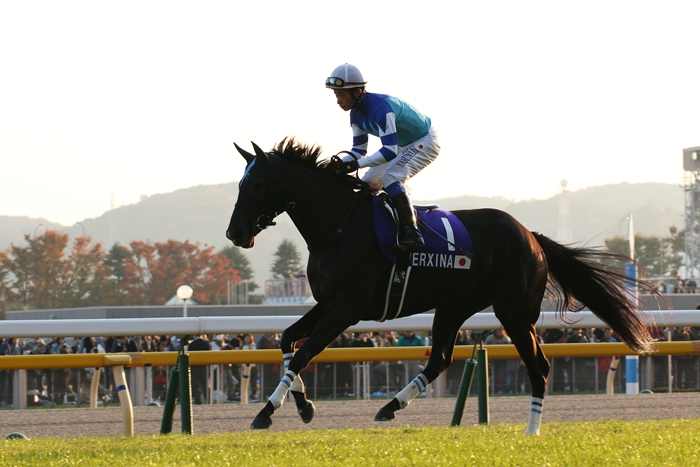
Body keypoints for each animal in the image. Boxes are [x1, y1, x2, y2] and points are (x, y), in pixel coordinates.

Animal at [225, 137, 661, 435]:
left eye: (257, 185)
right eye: (240, 185)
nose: (235, 233)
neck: (339, 227)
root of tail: (532, 237)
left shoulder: (346, 308)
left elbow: (303, 353)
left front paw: (265, 412)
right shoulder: (327, 303)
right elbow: (288, 341)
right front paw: (302, 405)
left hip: (514, 312)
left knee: (538, 365)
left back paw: (531, 430)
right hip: (455, 306)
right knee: (441, 359)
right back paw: (390, 407)